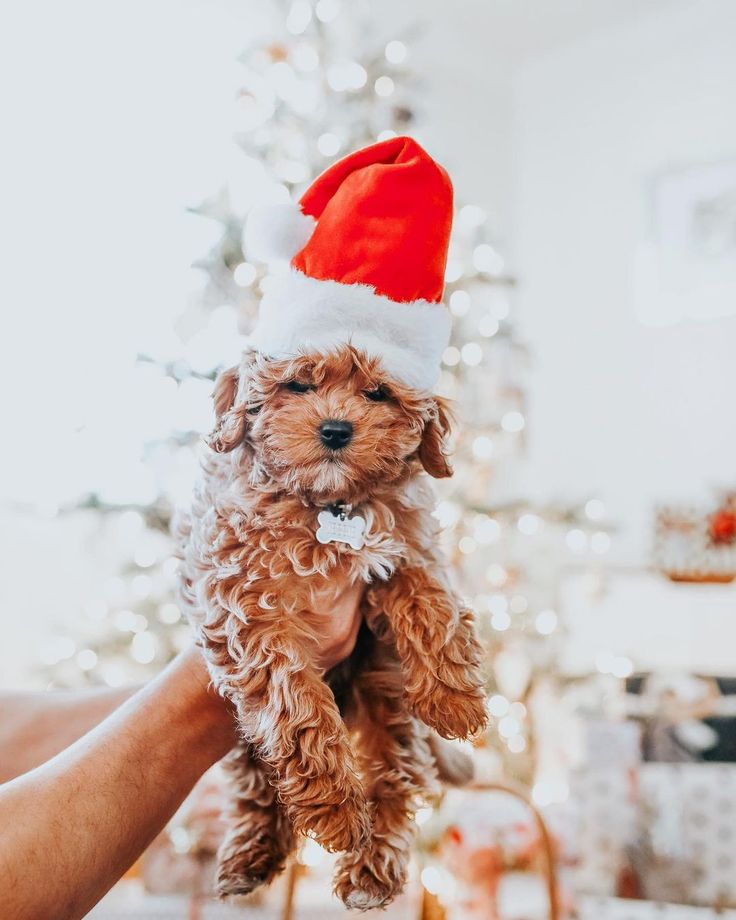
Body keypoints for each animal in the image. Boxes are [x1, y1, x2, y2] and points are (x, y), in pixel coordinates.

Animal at [178, 346, 488, 912]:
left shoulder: (403, 547)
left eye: (379, 393)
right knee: (259, 786)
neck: (330, 503)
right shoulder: (246, 606)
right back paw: (250, 860)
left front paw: (454, 697)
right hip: (242, 731)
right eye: (298, 385)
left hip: (387, 700)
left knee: (394, 779)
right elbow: (297, 706)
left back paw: (370, 873)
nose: (336, 430)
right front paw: (336, 808)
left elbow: (429, 595)